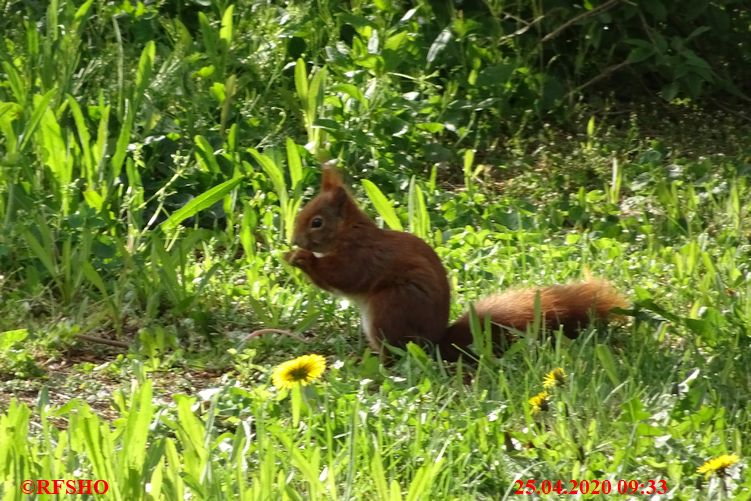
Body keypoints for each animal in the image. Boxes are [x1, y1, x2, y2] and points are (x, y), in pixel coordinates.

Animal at [284, 167, 624, 360]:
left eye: (316, 222)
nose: (294, 239)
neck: (347, 232)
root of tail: (435, 343)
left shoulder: (362, 255)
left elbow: (342, 276)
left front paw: (300, 259)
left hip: (389, 309)